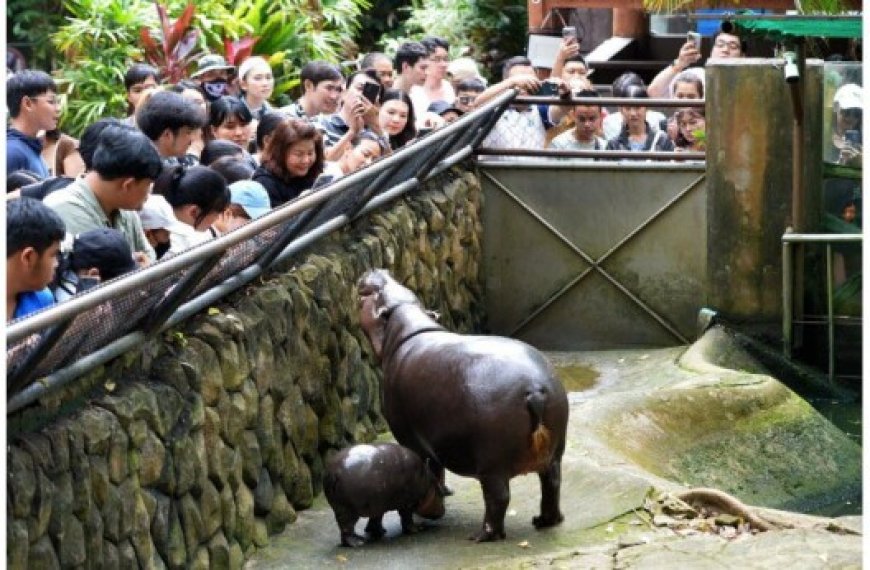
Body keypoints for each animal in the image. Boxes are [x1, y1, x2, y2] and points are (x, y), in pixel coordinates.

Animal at [358, 268, 568, 540]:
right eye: (400, 285)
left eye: (376, 293)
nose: (377, 269)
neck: (405, 326)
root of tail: (534, 388)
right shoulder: (431, 438)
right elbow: (435, 468)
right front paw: (444, 493)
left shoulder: (410, 438)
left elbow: (426, 466)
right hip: (554, 453)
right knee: (552, 484)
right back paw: (544, 521)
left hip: (492, 465)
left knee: (499, 498)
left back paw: (482, 536)